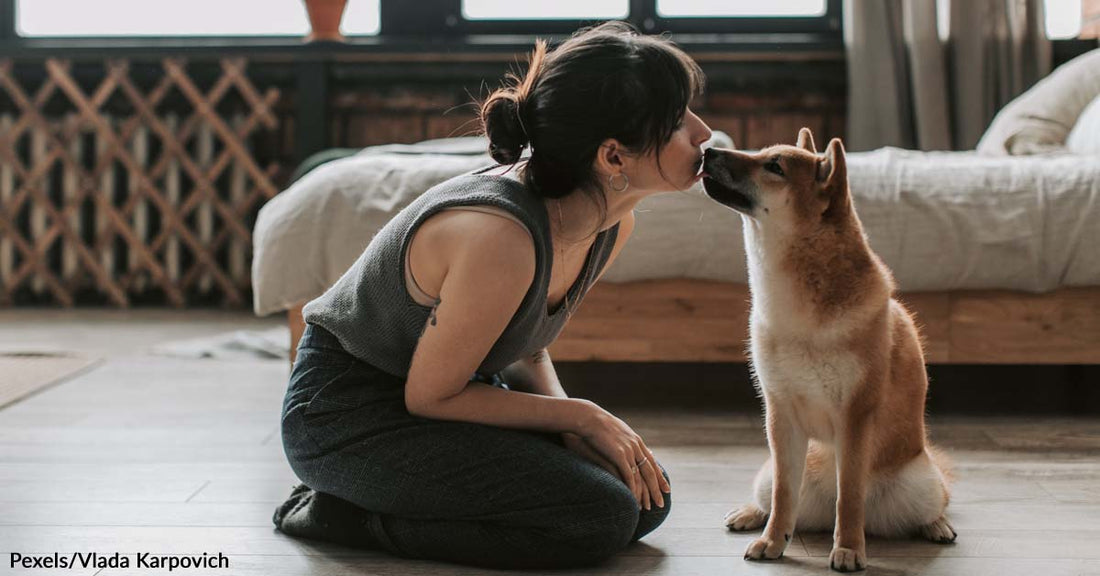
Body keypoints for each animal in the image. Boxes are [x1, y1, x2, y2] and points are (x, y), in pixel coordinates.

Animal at [704, 129, 954, 571]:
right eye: (761, 153)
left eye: (774, 166)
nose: (707, 150)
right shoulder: (780, 414)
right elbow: (784, 495)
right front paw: (773, 541)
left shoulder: (854, 416)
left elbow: (850, 496)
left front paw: (850, 548)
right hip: (770, 470)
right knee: (773, 499)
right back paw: (751, 514)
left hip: (919, 483)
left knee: (931, 503)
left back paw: (936, 526)